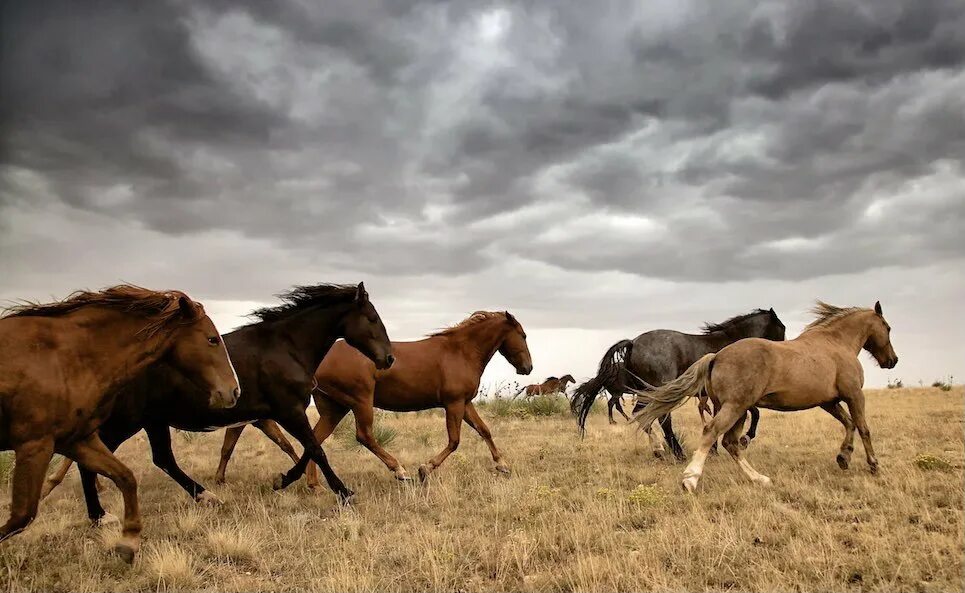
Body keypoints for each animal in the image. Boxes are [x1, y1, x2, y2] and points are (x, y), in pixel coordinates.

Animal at [0, 286, 241, 560]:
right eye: (212, 339)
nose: (234, 390)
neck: (67, 356)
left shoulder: (73, 439)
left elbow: (125, 476)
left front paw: (129, 541)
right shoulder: (34, 445)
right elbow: (22, 515)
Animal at [40, 282, 396, 520]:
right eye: (373, 318)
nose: (389, 358)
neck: (284, 346)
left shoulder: (275, 415)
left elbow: (306, 448)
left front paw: (282, 481)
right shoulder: (289, 410)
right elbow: (316, 449)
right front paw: (345, 493)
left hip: (152, 421)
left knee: (161, 459)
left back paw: (205, 497)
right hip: (129, 421)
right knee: (96, 459)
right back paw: (99, 515)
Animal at [217, 310, 536, 486]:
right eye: (522, 334)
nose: (528, 367)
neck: (460, 351)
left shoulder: (465, 403)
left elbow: (484, 430)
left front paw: (502, 465)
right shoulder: (454, 403)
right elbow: (455, 441)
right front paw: (424, 469)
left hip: (334, 408)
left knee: (315, 441)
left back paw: (311, 484)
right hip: (360, 399)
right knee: (364, 436)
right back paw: (399, 471)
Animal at [572, 308, 784, 460]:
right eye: (781, 329)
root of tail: (633, 343)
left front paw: (714, 449)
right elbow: (754, 413)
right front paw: (744, 439)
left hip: (645, 392)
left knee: (641, 415)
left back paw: (659, 451)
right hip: (660, 390)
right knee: (661, 419)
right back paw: (676, 453)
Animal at [632, 300, 896, 490]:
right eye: (888, 328)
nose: (892, 361)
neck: (836, 344)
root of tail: (716, 356)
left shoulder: (828, 402)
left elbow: (849, 424)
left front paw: (844, 457)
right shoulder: (854, 395)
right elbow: (863, 427)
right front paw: (874, 465)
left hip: (735, 410)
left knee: (729, 442)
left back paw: (760, 479)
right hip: (734, 407)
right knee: (710, 432)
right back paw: (690, 478)